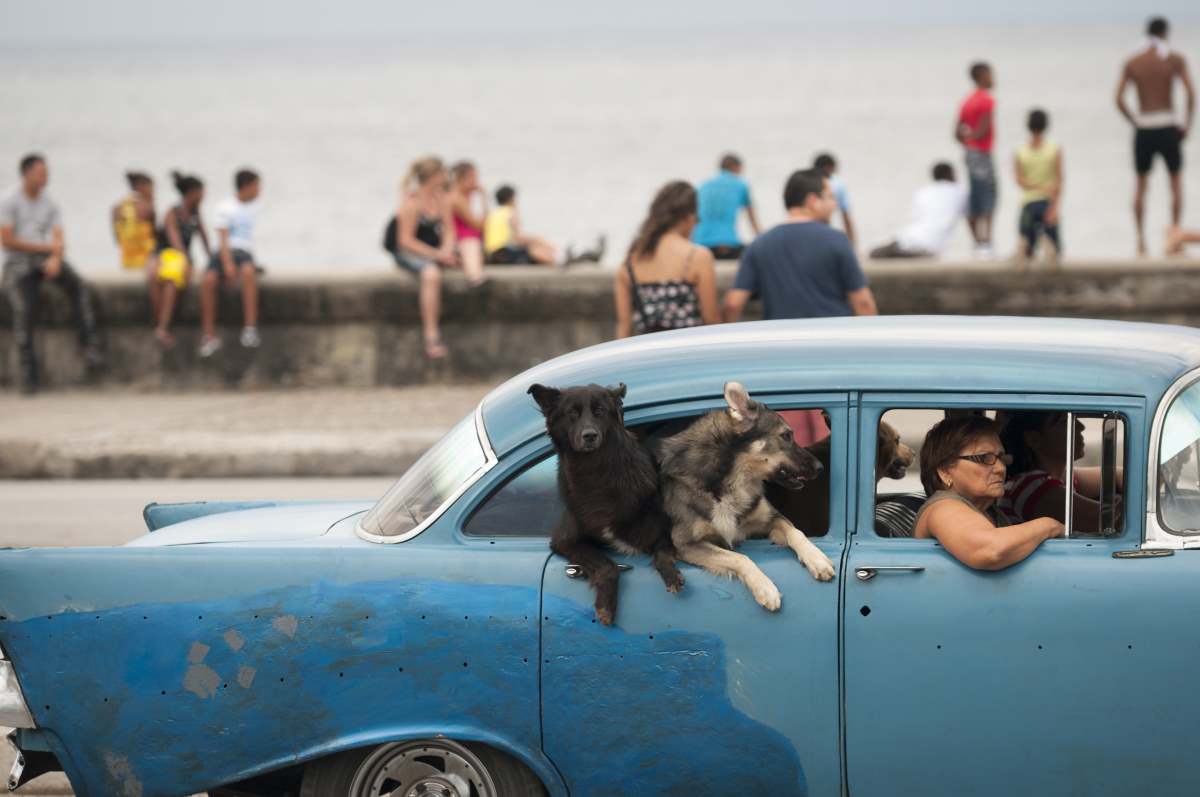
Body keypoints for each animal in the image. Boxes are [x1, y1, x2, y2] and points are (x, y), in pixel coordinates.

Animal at [528, 384, 686, 624]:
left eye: (599, 411)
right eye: (572, 413)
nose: (589, 436)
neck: (594, 471)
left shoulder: (665, 530)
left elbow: (662, 553)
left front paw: (671, 575)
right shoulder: (565, 541)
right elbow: (606, 565)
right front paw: (605, 605)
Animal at [652, 384, 840, 612]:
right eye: (786, 435)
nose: (820, 468)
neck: (732, 479)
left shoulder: (771, 520)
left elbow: (795, 532)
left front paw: (816, 558)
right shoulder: (686, 544)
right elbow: (739, 558)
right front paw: (765, 588)